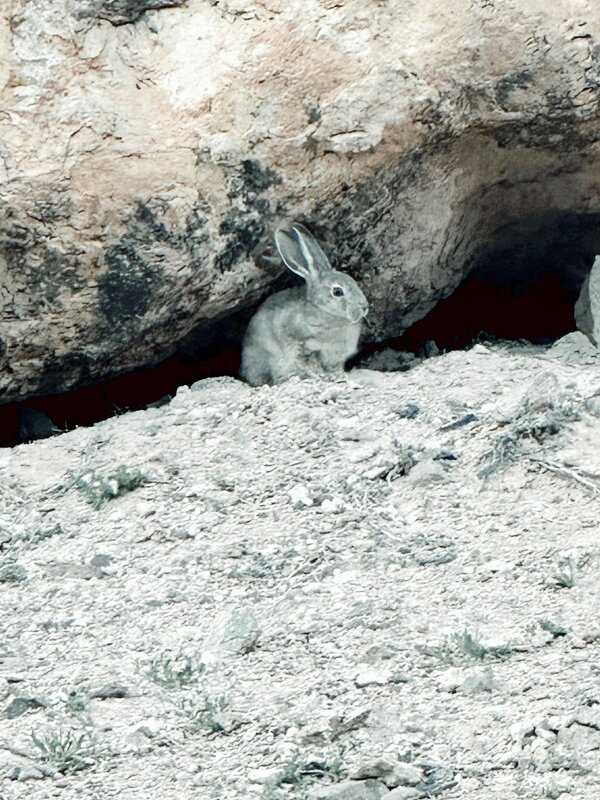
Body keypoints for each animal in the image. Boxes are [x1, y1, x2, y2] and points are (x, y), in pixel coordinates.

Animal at [241, 222, 368, 388]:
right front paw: (318, 375)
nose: (364, 307)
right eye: (338, 291)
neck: (327, 314)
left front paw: (339, 374)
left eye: (354, 281)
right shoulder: (302, 346)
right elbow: (307, 364)